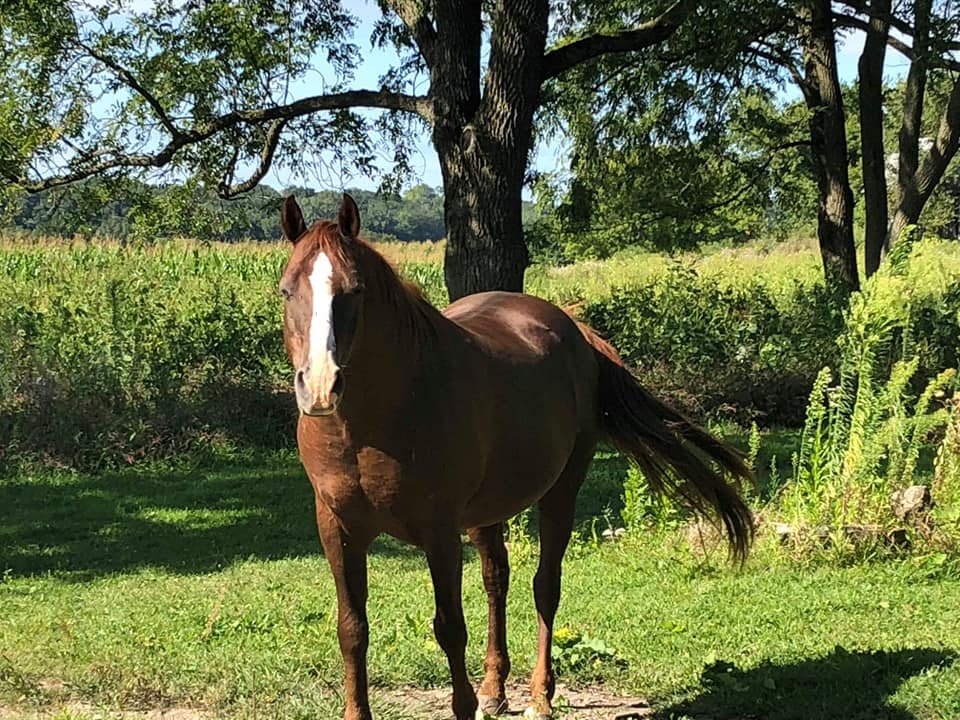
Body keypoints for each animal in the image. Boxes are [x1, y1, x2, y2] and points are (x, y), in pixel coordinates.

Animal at [274, 193, 752, 720]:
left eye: (354, 290)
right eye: (286, 291)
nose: (320, 385)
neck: (371, 426)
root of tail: (576, 331)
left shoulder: (439, 531)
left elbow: (449, 628)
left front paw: (465, 705)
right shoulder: (338, 528)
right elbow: (352, 629)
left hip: (561, 493)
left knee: (546, 586)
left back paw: (540, 696)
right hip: (487, 512)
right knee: (496, 582)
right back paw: (494, 688)